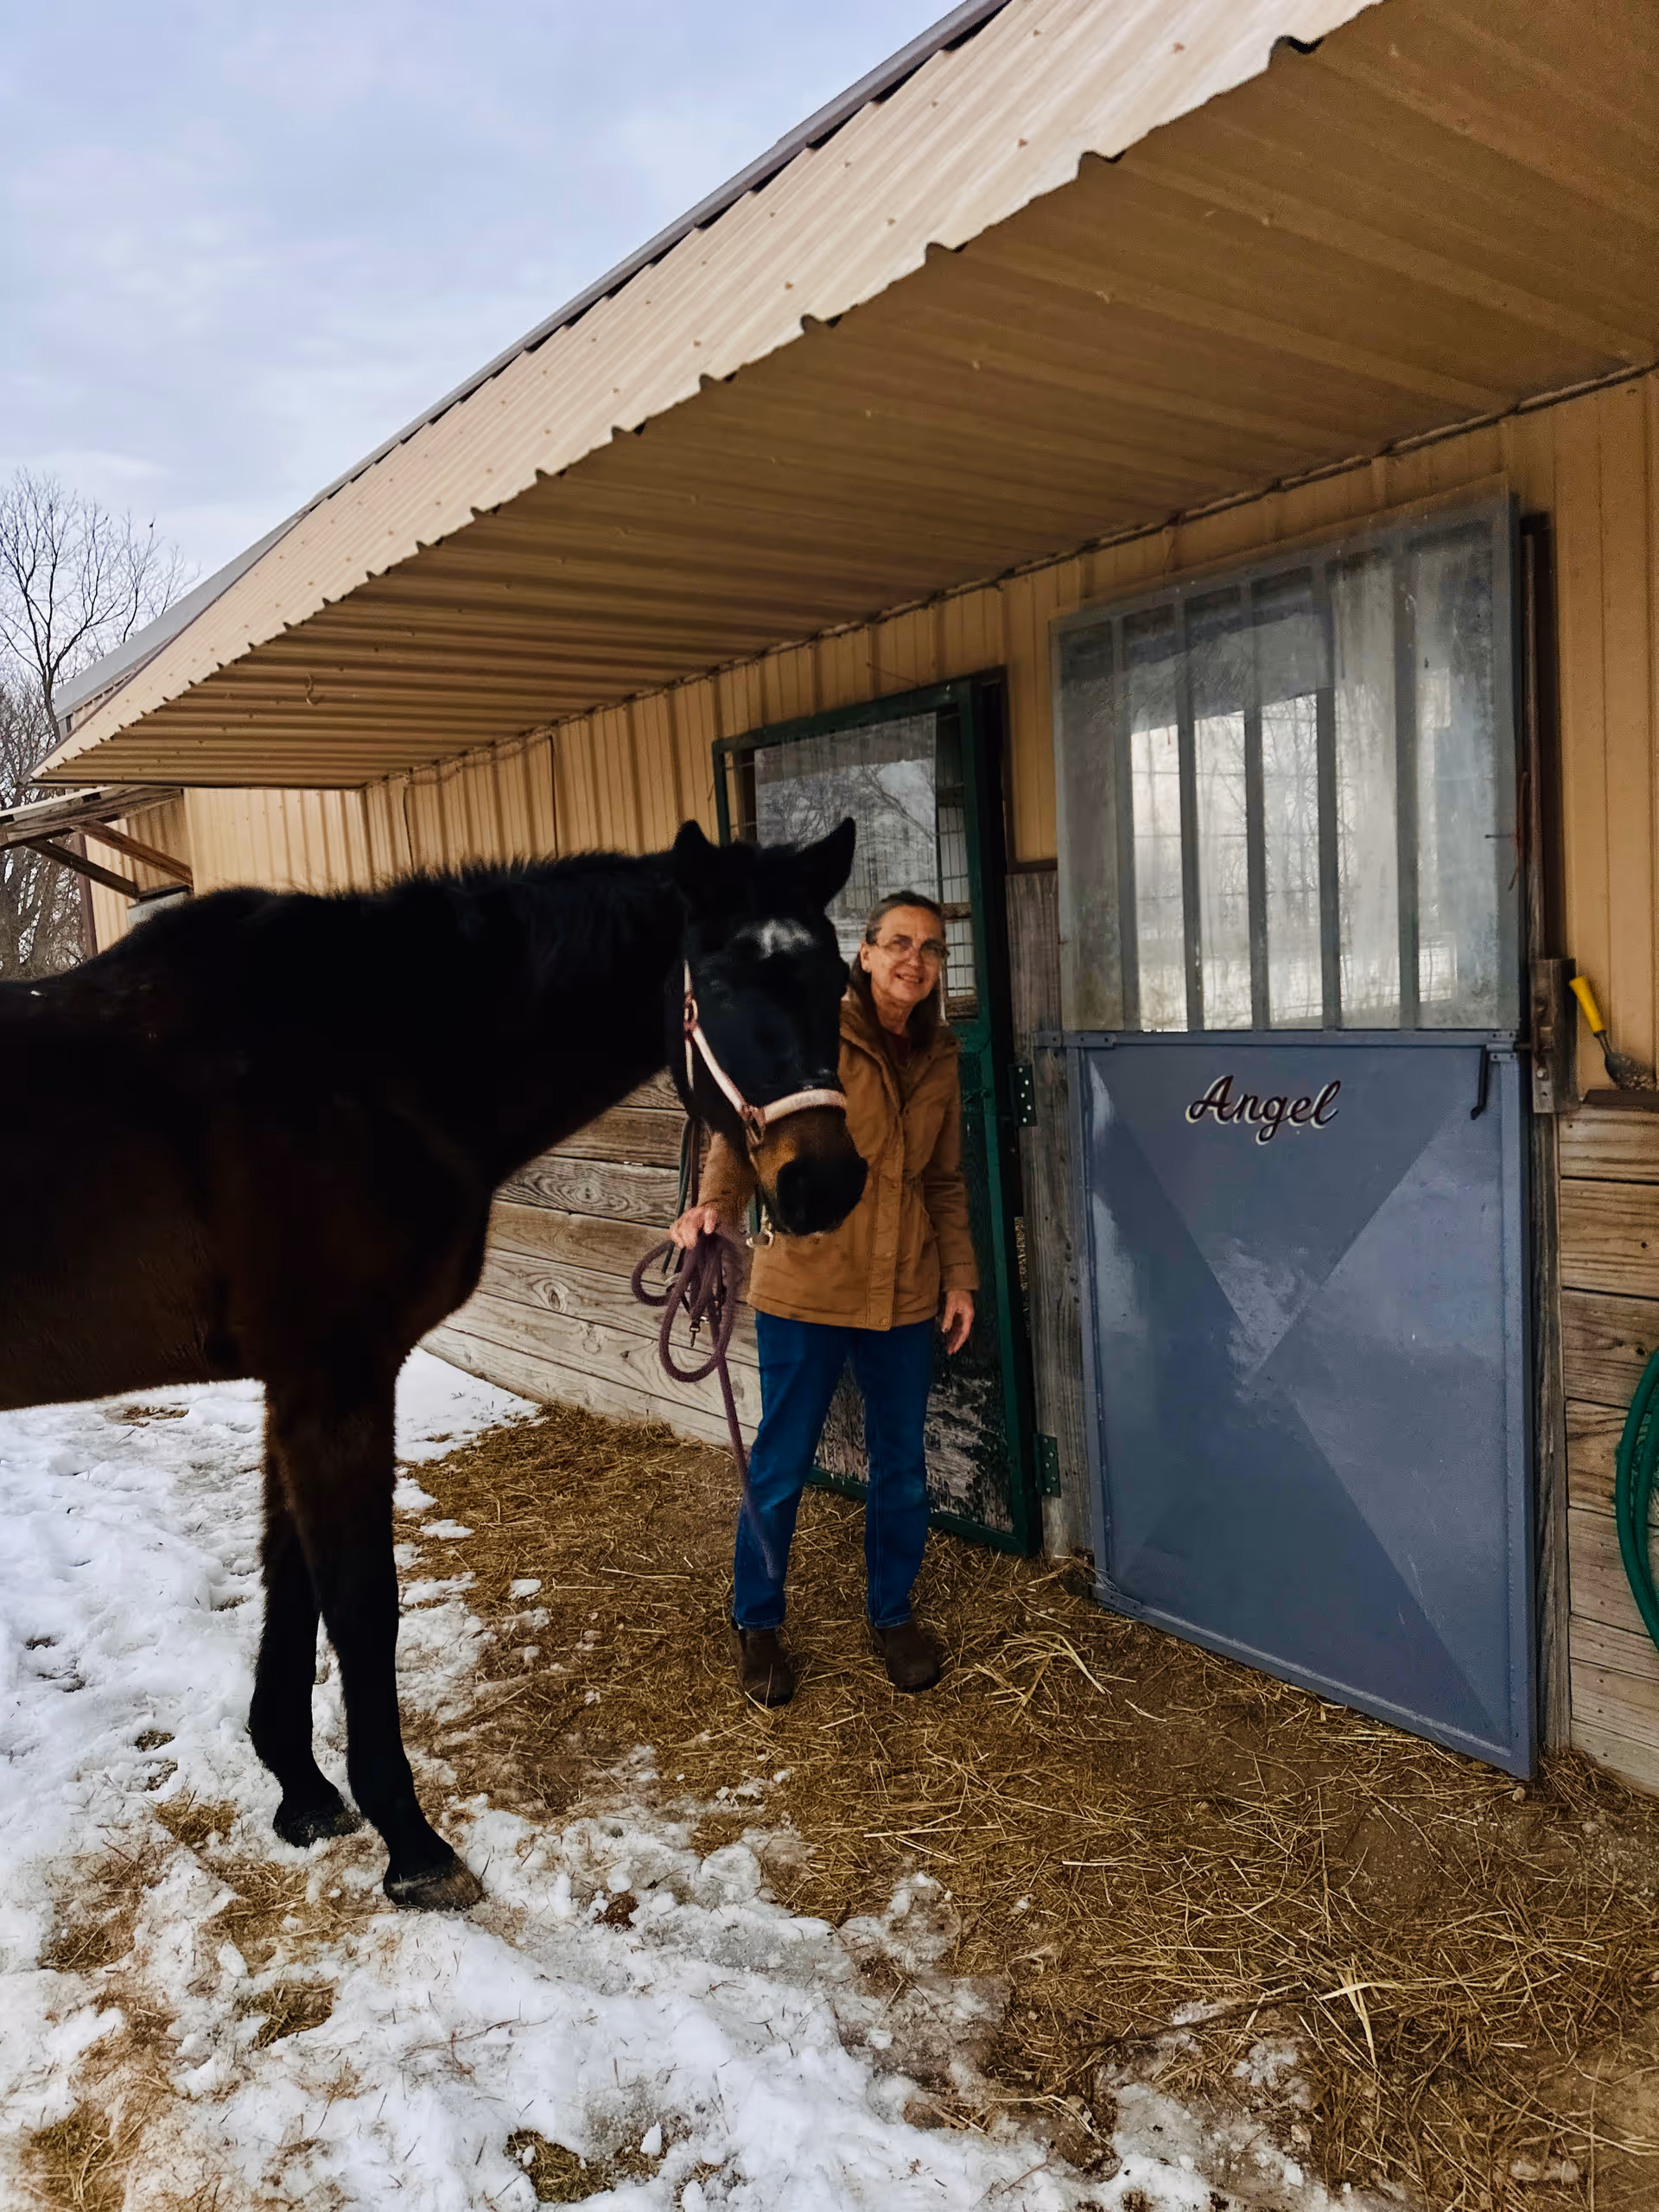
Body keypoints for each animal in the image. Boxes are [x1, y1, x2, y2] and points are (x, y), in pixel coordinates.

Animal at [0, 818, 866, 1909]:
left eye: (836, 975)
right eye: (716, 978)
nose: (826, 1184)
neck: (364, 1054)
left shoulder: (296, 1385)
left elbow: (293, 1580)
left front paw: (301, 1790)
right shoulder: (339, 1379)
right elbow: (363, 1605)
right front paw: (412, 1844)